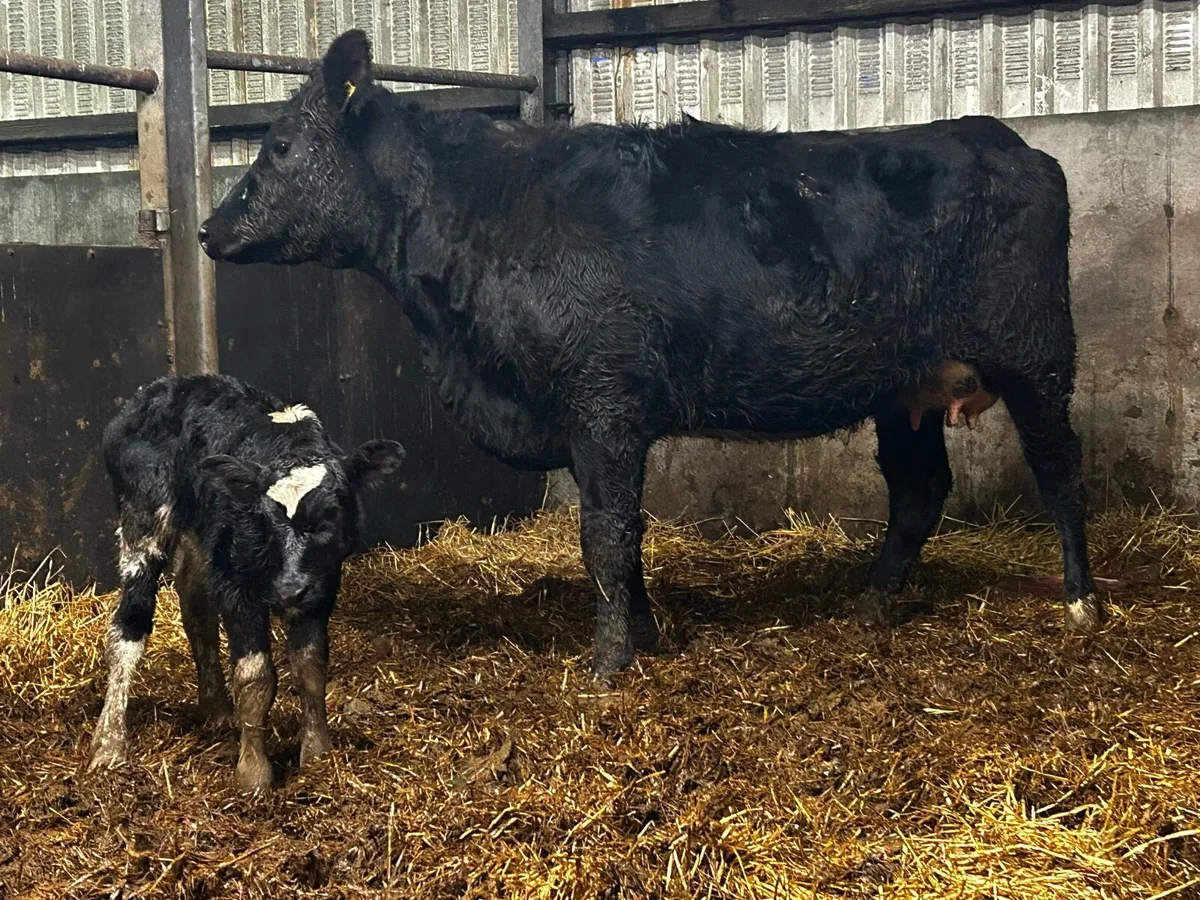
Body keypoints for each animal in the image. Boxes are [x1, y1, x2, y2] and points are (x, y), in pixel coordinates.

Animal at [89, 373, 405, 791]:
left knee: (195, 606)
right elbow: (255, 677)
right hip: (143, 518)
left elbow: (310, 667)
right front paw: (253, 773)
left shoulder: (321, 585)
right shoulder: (237, 587)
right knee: (128, 627)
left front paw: (317, 754)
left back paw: (217, 708)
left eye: (330, 515)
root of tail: (161, 387)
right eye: (262, 517)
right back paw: (109, 743)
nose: (288, 590)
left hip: (199, 538)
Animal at [199, 29, 1104, 684]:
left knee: (1061, 472)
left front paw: (609, 665)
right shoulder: (591, 421)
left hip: (1037, 356)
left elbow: (605, 535)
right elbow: (622, 537)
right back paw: (874, 606)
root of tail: (1005, 140)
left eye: (280, 146)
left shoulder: (605, 402)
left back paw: (1082, 603)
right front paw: (649, 636)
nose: (209, 226)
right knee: (919, 490)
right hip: (904, 387)